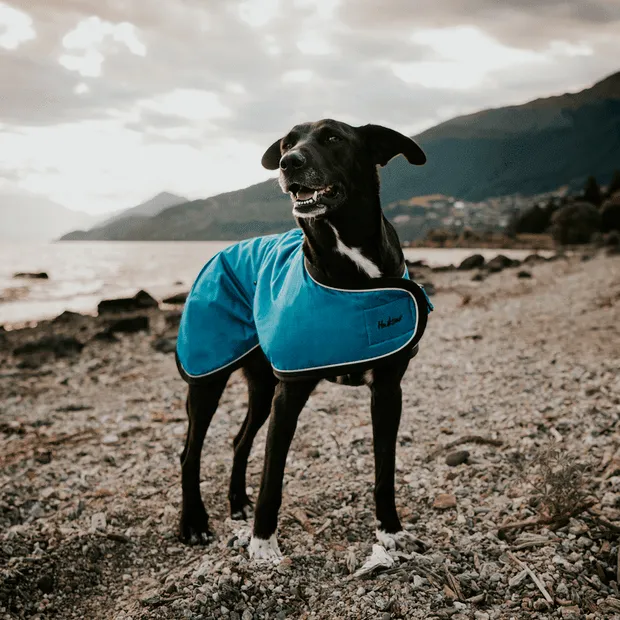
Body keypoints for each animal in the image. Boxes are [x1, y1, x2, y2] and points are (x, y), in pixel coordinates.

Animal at [178, 118, 426, 560]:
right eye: (286, 144)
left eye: (333, 137)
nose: (288, 163)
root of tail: (218, 253)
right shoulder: (289, 393)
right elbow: (272, 477)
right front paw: (262, 545)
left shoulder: (388, 390)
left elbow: (385, 470)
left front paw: (390, 532)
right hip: (208, 378)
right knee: (190, 453)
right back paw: (193, 522)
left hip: (261, 386)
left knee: (239, 441)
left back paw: (237, 502)